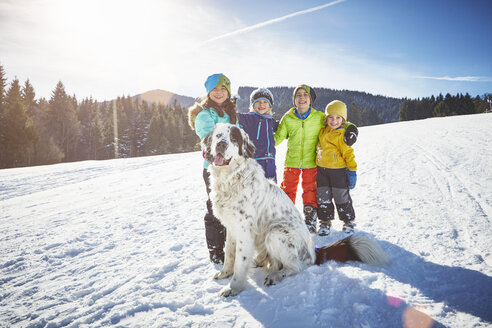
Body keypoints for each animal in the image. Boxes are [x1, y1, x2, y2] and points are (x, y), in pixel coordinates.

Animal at [203, 123, 388, 298]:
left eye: (234, 138)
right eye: (218, 135)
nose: (221, 144)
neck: (230, 178)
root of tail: (314, 253)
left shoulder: (244, 230)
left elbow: (240, 263)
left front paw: (233, 288)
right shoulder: (231, 227)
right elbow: (229, 255)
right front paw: (225, 273)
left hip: (276, 232)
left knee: (296, 266)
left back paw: (276, 276)